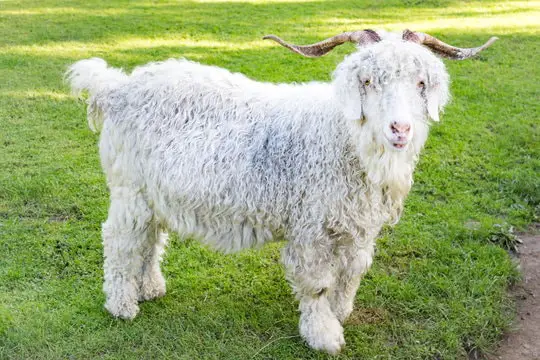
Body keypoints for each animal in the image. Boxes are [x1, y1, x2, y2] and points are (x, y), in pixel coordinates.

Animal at [67, 28, 498, 354]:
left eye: (421, 83)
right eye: (368, 81)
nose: (400, 129)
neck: (340, 136)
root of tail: (117, 88)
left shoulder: (357, 229)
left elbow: (351, 275)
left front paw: (340, 313)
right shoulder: (311, 229)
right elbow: (318, 284)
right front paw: (324, 335)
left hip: (155, 194)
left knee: (150, 238)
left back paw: (150, 288)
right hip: (129, 189)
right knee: (121, 240)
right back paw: (122, 304)